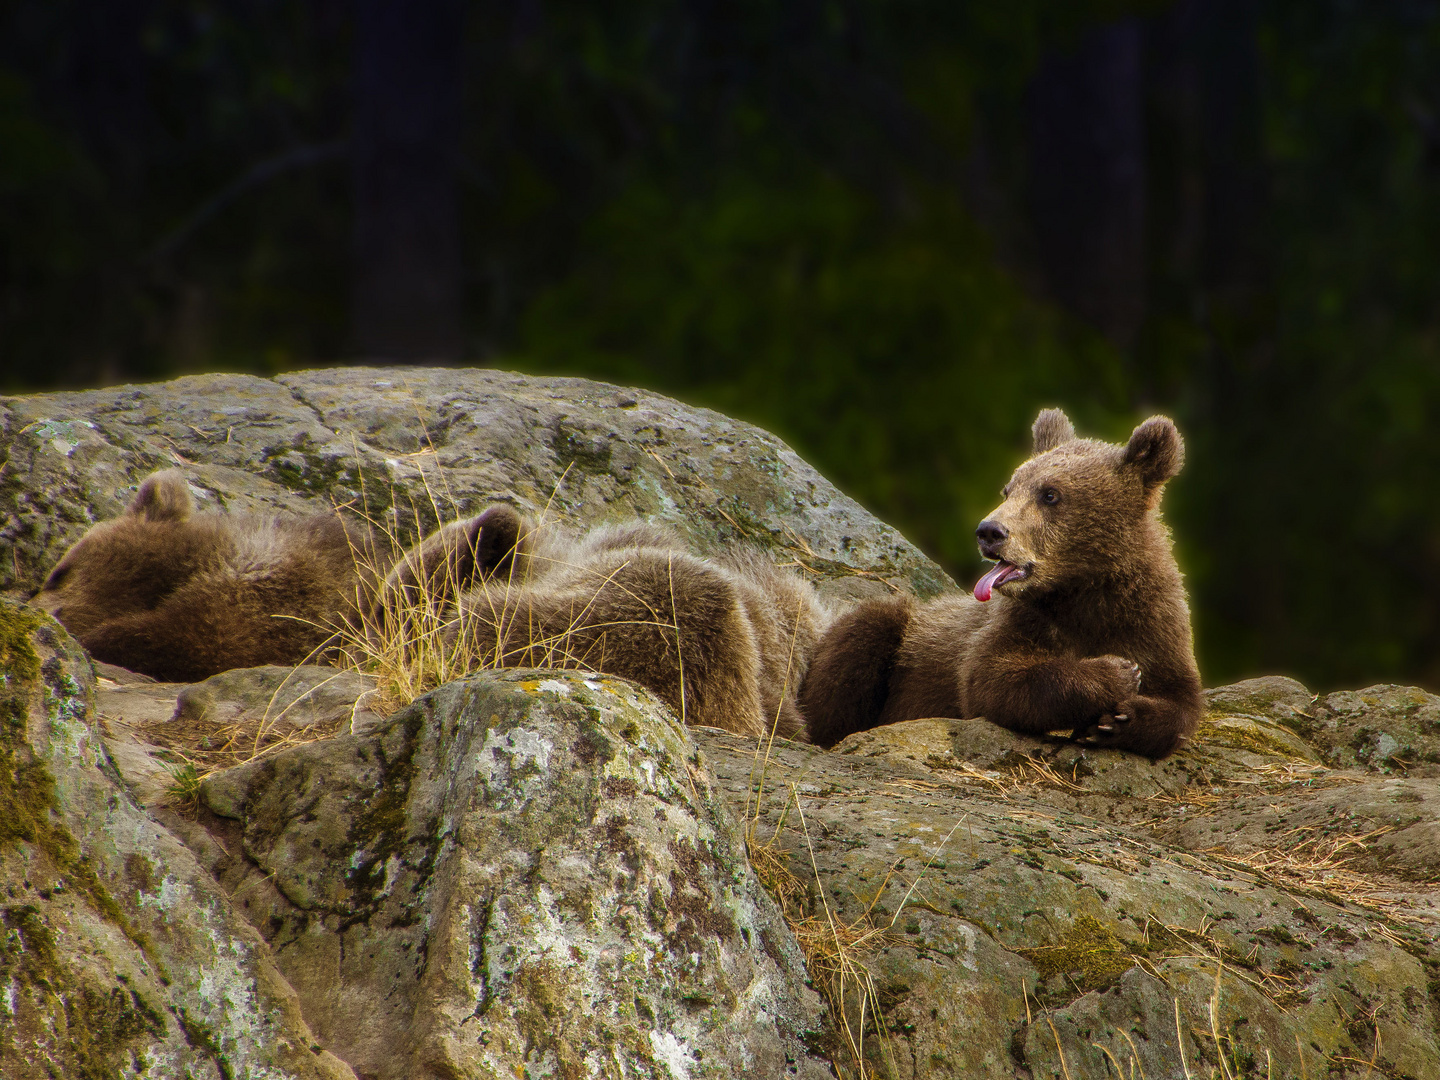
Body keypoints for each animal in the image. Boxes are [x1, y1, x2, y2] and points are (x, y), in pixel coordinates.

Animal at [800, 408, 1203, 760]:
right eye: (1009, 489)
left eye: (1050, 494)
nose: (989, 531)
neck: (1085, 588)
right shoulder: (1019, 621)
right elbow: (993, 679)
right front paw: (1116, 672)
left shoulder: (1155, 625)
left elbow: (1182, 703)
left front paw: (1118, 720)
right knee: (865, 634)